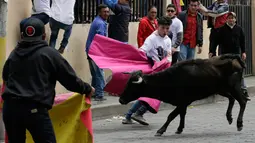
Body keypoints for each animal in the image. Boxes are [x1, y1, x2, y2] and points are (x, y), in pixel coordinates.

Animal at [119, 54, 249, 136]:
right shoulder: (183, 103)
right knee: (232, 99)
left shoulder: (183, 102)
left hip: (234, 88)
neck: (169, 79)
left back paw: (239, 123)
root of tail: (233, 57)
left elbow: (171, 115)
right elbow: (182, 114)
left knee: (242, 101)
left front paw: (161, 130)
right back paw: (229, 117)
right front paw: (179, 128)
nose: (121, 99)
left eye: (132, 86)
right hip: (221, 89)